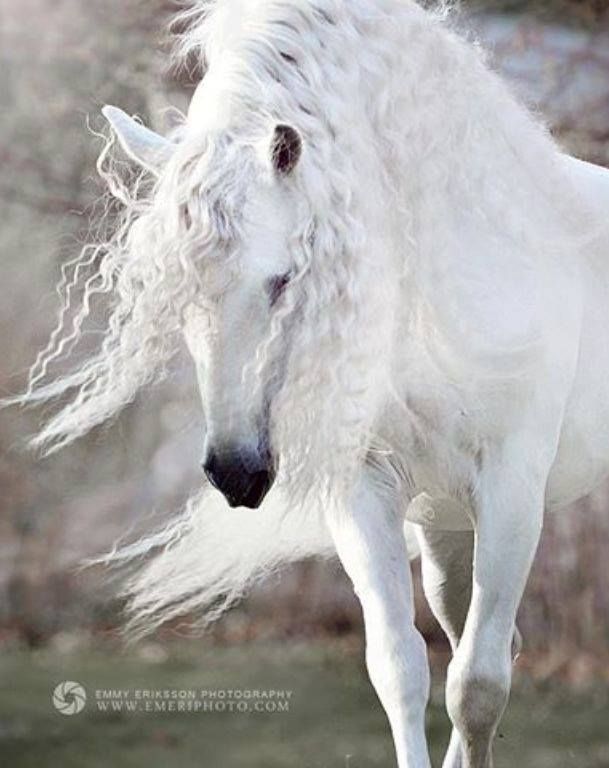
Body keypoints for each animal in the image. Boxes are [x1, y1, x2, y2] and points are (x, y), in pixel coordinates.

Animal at [14, 1, 608, 768]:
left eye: (282, 278)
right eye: (178, 294)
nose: (235, 472)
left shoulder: (512, 490)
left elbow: (476, 688)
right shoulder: (365, 490)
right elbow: (402, 670)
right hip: (447, 530)